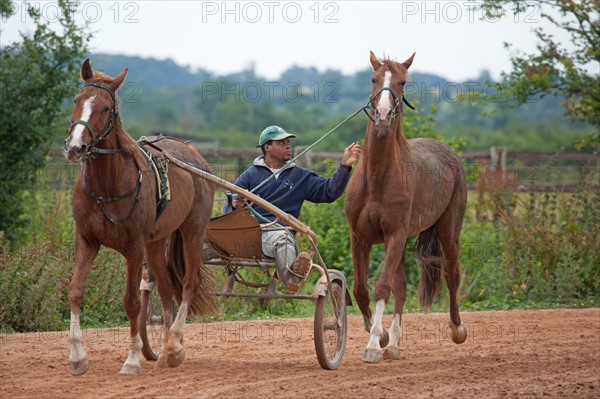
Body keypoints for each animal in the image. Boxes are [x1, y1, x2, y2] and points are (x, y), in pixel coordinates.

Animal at [64, 58, 214, 376]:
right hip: (155, 243)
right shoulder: (87, 240)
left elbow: (132, 302)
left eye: (105, 108)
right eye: (77, 99)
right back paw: (167, 345)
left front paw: (131, 360)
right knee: (167, 288)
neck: (107, 186)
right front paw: (77, 357)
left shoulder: (133, 248)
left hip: (193, 231)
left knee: (188, 284)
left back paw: (176, 344)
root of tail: (195, 155)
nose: (75, 147)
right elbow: (75, 291)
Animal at [344, 51, 466, 364]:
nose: (383, 114)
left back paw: (457, 329)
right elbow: (361, 289)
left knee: (452, 275)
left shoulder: (395, 236)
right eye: (373, 79)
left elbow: (381, 287)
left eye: (402, 82)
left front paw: (373, 345)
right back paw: (395, 343)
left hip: (447, 233)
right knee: (400, 287)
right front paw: (383, 336)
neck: (377, 176)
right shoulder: (360, 238)